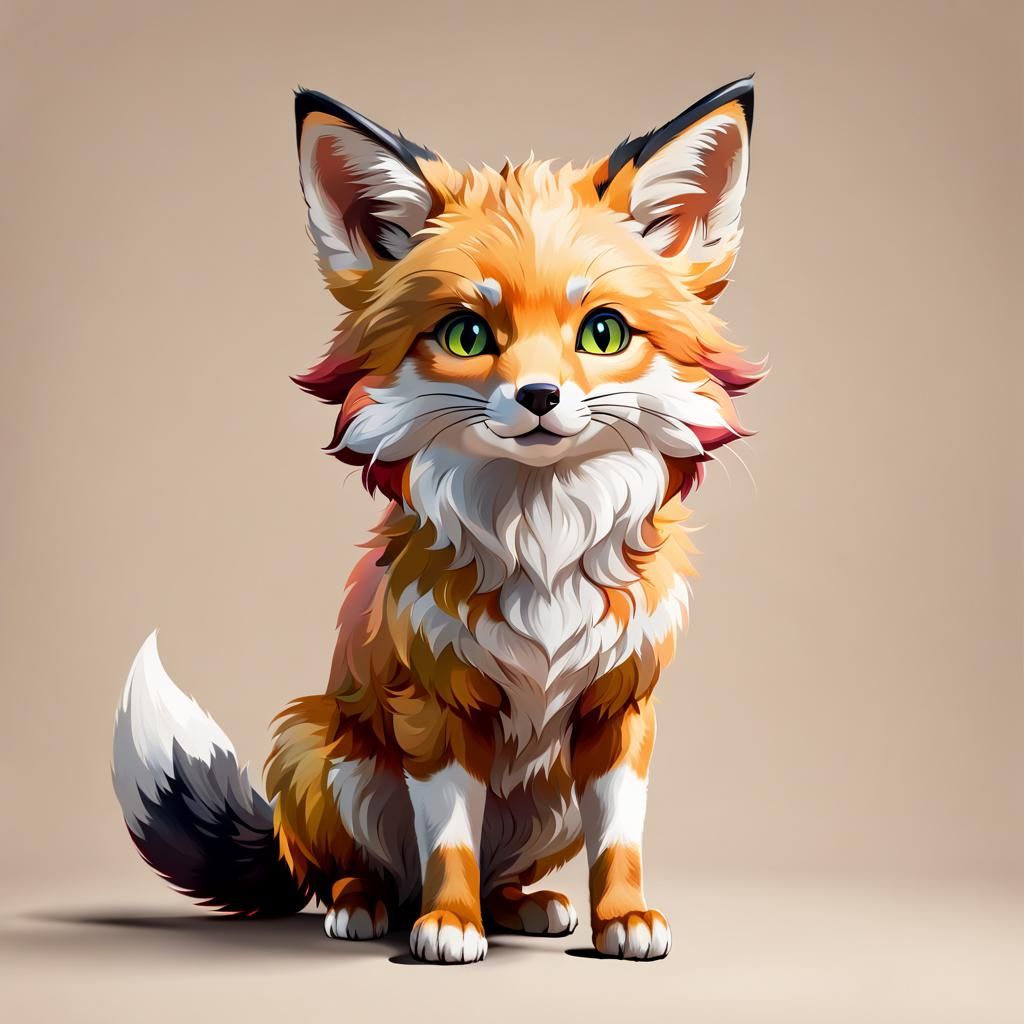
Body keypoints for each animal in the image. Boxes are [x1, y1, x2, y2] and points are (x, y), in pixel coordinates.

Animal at [112, 77, 762, 963]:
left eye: (602, 332)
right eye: (466, 334)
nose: (538, 397)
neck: (542, 545)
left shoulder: (620, 709)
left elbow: (620, 840)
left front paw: (623, 917)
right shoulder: (435, 708)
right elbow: (449, 841)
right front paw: (449, 926)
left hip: (550, 800)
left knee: (498, 873)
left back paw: (522, 905)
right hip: (318, 754)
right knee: (367, 872)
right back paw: (371, 906)